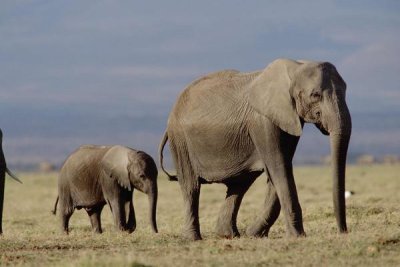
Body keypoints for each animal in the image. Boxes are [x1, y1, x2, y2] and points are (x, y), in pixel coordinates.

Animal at [159, 58, 354, 241]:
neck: (294, 68)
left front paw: (255, 234)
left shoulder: (287, 118)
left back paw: (228, 235)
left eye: (346, 91)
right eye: (315, 95)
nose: (343, 231)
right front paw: (297, 236)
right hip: (181, 141)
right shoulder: (262, 121)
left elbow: (281, 167)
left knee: (239, 185)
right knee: (191, 187)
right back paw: (193, 238)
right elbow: (278, 166)